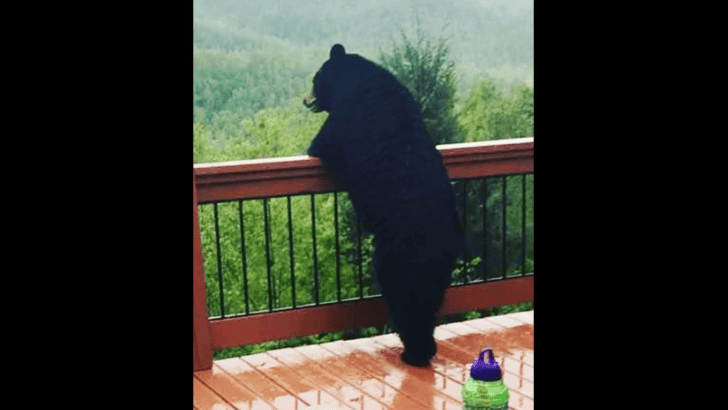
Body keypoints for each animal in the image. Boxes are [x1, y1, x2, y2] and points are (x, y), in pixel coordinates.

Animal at [304, 44, 465, 367]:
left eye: (315, 79)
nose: (306, 99)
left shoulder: (344, 118)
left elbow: (320, 144)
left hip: (398, 252)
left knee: (403, 295)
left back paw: (413, 352)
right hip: (440, 263)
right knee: (430, 299)